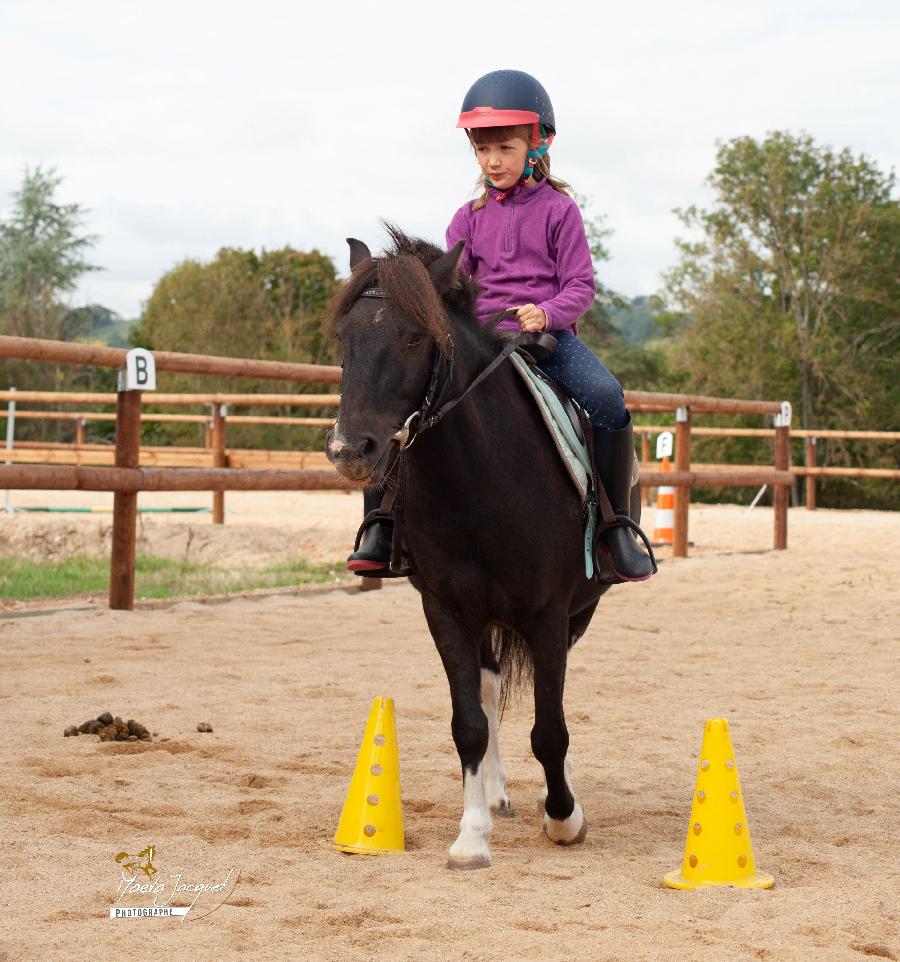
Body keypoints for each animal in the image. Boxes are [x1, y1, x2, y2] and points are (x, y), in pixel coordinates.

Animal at [324, 229, 640, 868]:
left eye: (414, 336)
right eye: (345, 338)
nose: (350, 450)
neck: (478, 480)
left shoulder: (548, 614)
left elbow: (550, 727)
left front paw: (564, 818)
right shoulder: (445, 610)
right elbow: (468, 722)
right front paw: (471, 835)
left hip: (579, 610)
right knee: (491, 689)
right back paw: (495, 794)